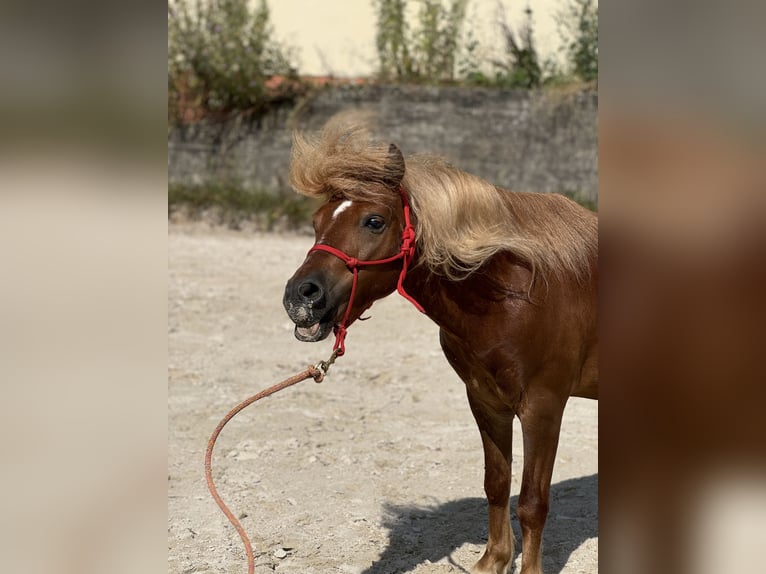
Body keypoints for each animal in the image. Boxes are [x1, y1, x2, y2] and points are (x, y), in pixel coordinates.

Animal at [284, 122, 600, 574]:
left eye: (374, 221)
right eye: (317, 221)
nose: (300, 297)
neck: (517, 292)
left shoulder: (543, 407)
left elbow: (532, 503)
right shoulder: (486, 401)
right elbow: (496, 484)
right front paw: (492, 561)